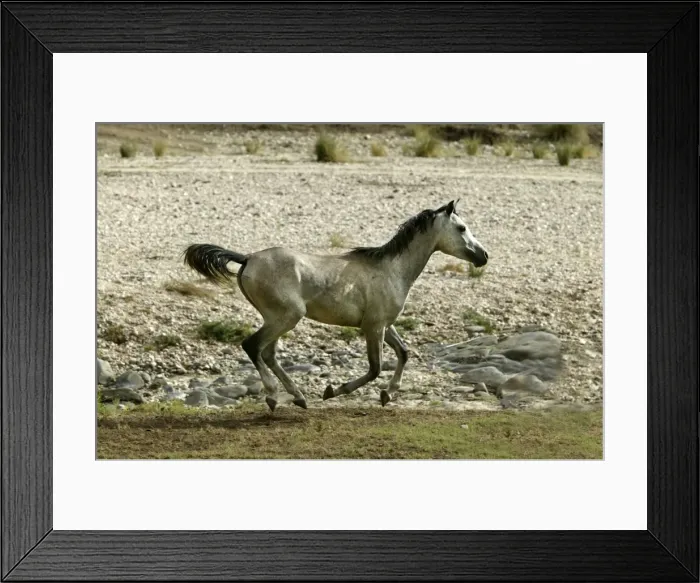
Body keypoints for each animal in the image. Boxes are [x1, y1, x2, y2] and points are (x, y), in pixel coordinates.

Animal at [183, 199, 488, 412]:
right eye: (462, 228)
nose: (483, 256)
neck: (392, 269)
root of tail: (247, 258)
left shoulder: (383, 324)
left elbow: (403, 353)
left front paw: (388, 395)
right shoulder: (374, 327)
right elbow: (375, 368)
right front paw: (333, 391)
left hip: (276, 319)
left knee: (267, 353)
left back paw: (299, 398)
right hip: (287, 317)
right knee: (253, 346)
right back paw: (274, 397)